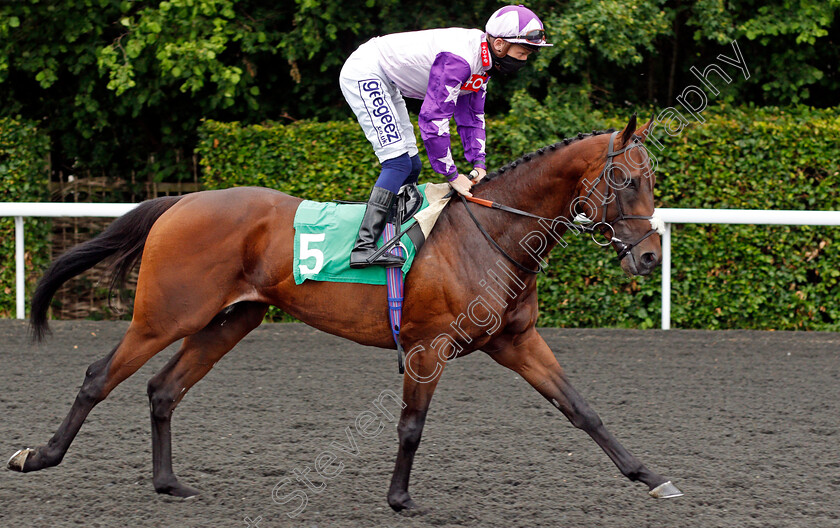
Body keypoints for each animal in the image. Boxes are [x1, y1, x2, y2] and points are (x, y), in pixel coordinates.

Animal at [6, 114, 684, 512]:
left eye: (651, 180)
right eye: (627, 181)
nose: (651, 255)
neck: (491, 233)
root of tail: (180, 202)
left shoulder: (516, 340)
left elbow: (582, 409)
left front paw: (651, 476)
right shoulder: (428, 345)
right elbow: (410, 425)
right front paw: (401, 498)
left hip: (230, 320)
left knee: (163, 389)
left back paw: (170, 483)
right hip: (164, 316)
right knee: (99, 376)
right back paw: (38, 456)